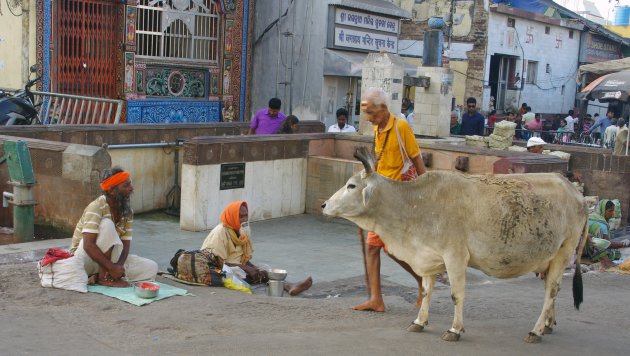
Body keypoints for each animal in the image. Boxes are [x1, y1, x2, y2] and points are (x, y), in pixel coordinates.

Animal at [324, 147, 592, 342]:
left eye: (351, 185)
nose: (324, 205)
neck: (415, 203)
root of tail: (576, 193)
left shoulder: (455, 257)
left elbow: (456, 294)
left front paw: (454, 330)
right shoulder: (428, 257)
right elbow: (426, 291)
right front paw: (419, 322)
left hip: (564, 252)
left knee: (551, 291)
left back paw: (536, 331)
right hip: (549, 258)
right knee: (551, 289)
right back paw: (547, 325)